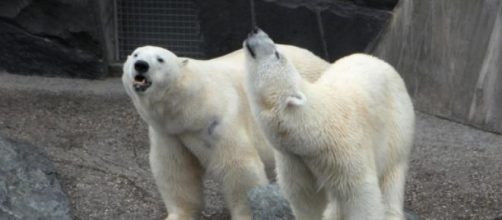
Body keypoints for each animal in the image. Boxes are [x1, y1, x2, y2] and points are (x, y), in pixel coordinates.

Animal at [121, 43, 330, 220]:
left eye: (160, 59)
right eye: (136, 54)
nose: (140, 65)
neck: (189, 107)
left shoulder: (218, 119)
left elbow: (238, 167)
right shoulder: (169, 132)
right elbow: (176, 170)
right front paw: (178, 215)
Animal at [244, 29, 416, 220]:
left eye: (277, 54)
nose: (256, 31)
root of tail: (381, 61)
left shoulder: (345, 149)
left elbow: (360, 194)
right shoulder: (294, 159)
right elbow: (304, 197)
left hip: (397, 125)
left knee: (392, 174)